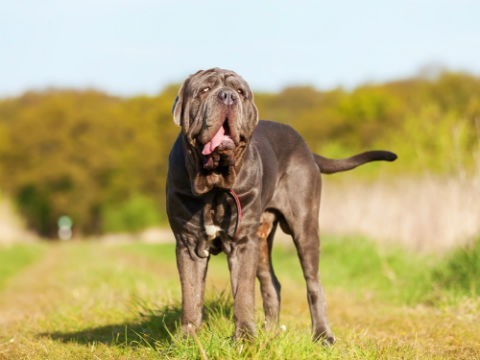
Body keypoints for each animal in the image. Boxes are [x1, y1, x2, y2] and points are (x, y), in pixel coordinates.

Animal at [166, 68, 398, 344]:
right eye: (203, 90)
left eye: (241, 92)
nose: (228, 96)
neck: (214, 185)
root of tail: (306, 147)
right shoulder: (189, 243)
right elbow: (191, 295)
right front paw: (188, 339)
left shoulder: (243, 243)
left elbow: (243, 294)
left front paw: (245, 339)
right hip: (262, 240)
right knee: (271, 283)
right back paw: (271, 332)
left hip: (304, 228)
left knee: (313, 282)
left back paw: (322, 335)